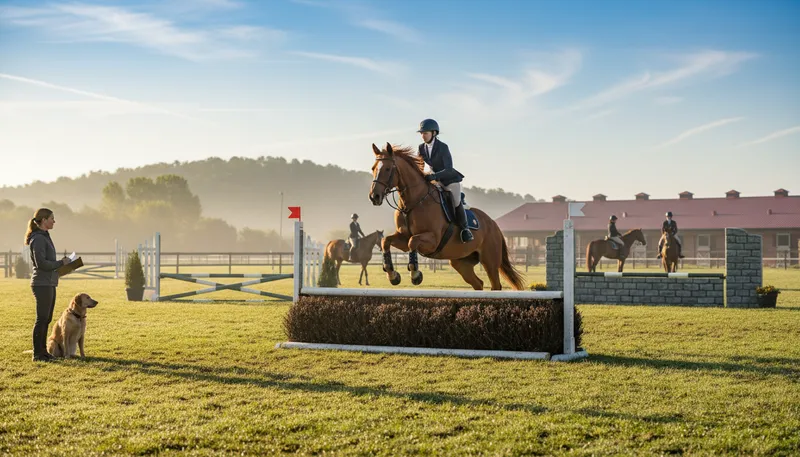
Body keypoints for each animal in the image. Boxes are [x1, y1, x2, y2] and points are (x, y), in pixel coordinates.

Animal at [368, 143, 525, 290]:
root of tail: (494, 225)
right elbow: (386, 241)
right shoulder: (403, 238)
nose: (374, 197)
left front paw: (415, 275)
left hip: (489, 260)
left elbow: (412, 242)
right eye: (373, 168)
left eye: (388, 169)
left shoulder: (433, 240)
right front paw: (392, 275)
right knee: (478, 283)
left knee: (495, 285)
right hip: (461, 262)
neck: (413, 202)